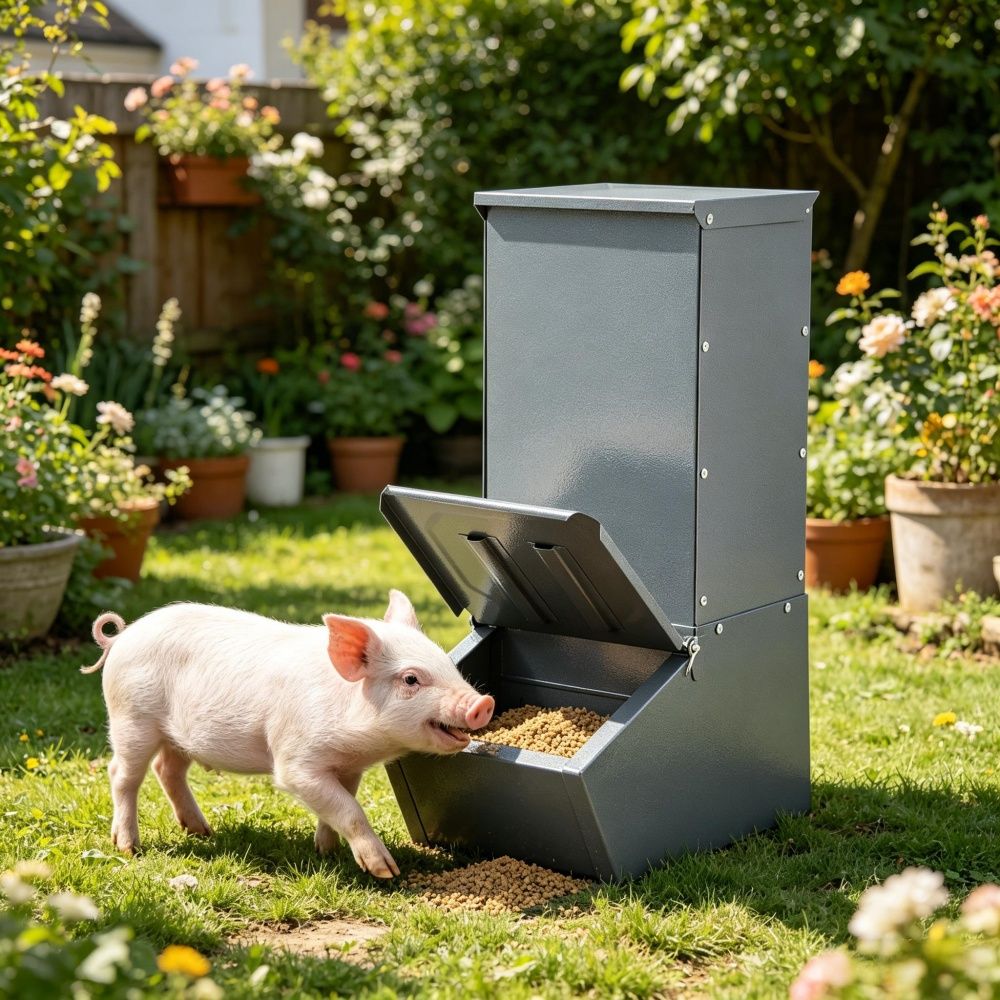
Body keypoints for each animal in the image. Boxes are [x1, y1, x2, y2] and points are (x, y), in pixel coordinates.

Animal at [82, 591, 494, 878]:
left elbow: (342, 802)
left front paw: (326, 852)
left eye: (447, 664)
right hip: (131, 718)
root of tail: (121, 637)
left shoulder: (348, 767)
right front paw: (384, 871)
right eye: (411, 679)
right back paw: (129, 848)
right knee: (123, 774)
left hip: (176, 735)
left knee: (167, 770)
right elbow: (349, 808)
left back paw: (203, 832)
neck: (358, 742)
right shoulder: (296, 762)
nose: (483, 702)